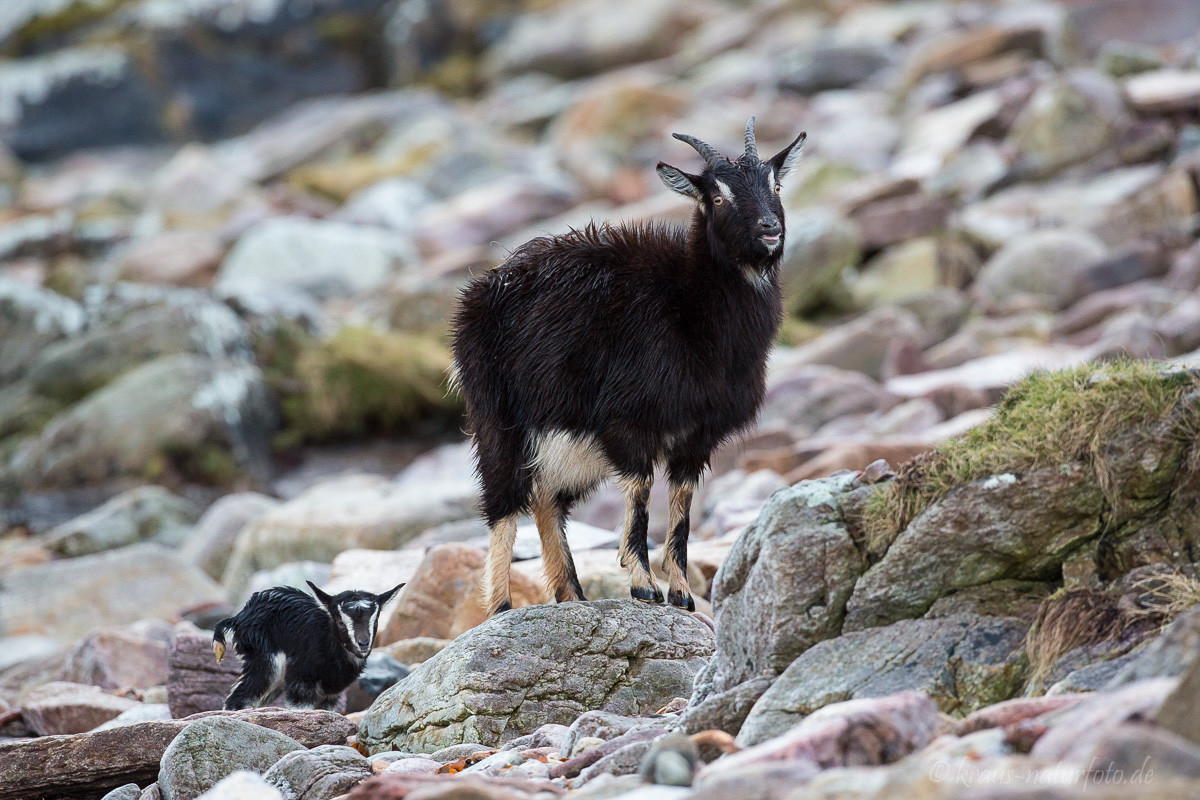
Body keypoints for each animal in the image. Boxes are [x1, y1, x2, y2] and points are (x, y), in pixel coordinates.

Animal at [451, 117, 806, 614]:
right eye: (717, 197)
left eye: (775, 185)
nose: (769, 228)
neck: (689, 310)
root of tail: (480, 292)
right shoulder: (626, 420)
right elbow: (639, 494)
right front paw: (643, 584)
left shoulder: (697, 435)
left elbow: (681, 505)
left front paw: (681, 592)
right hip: (499, 419)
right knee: (504, 500)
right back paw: (501, 606)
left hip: (569, 441)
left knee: (547, 499)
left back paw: (572, 594)